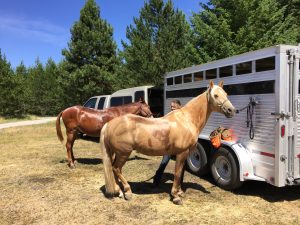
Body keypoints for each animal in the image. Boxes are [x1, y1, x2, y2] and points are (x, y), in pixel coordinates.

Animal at [99, 80, 236, 204]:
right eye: (215, 95)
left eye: (226, 94)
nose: (231, 110)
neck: (186, 120)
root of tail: (109, 124)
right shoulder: (182, 153)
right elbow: (177, 173)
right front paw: (176, 196)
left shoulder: (185, 153)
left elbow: (181, 173)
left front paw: (179, 192)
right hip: (123, 153)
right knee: (116, 169)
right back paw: (127, 192)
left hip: (116, 153)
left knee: (114, 169)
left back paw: (119, 192)